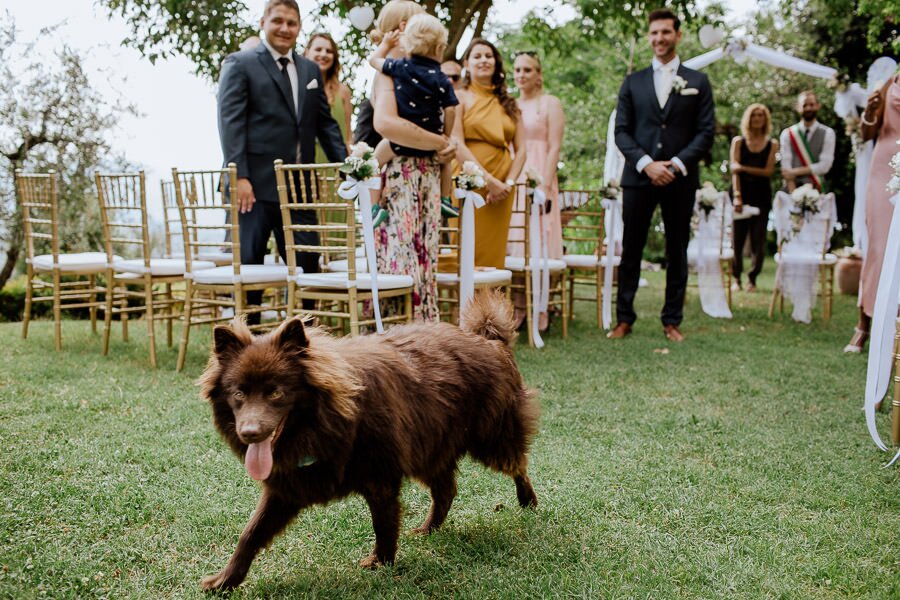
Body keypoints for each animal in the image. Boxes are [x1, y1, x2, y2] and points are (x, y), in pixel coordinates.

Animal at [200, 290, 536, 592]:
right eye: (238, 393)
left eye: (275, 392)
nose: (249, 433)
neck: (325, 421)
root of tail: (489, 340)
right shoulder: (287, 487)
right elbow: (251, 533)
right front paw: (225, 581)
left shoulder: (380, 477)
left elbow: (383, 523)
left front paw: (382, 562)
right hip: (430, 447)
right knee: (446, 491)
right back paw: (428, 529)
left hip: (491, 438)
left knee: (517, 465)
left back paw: (528, 501)